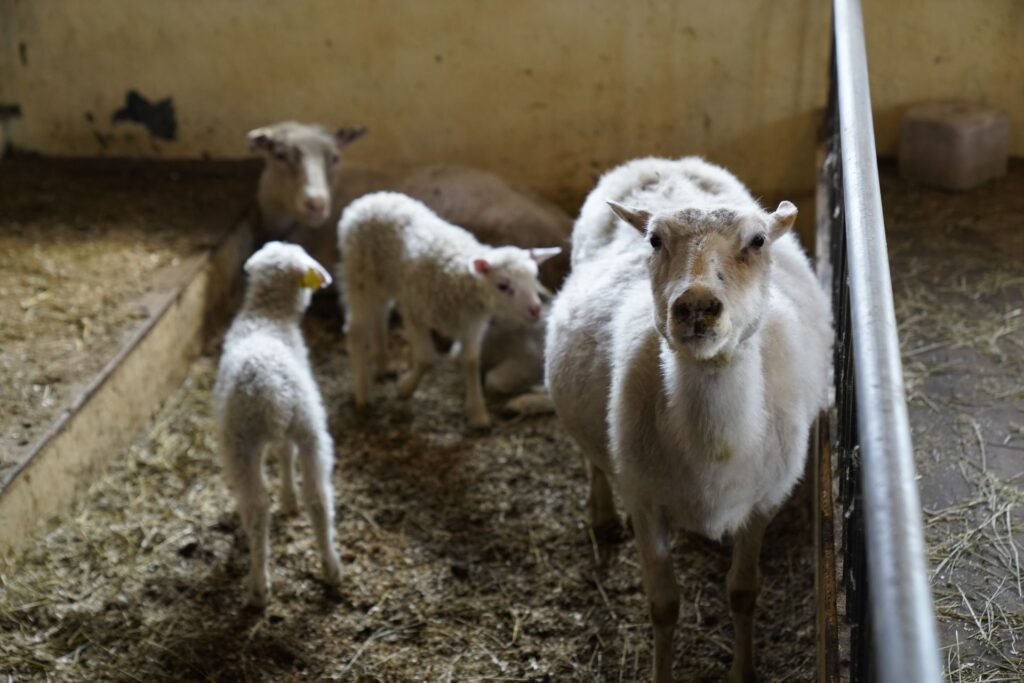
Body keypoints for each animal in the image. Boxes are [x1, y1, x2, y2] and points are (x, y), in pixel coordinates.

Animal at [213, 241, 342, 608]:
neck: (267, 317)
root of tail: (270, 386)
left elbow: (282, 458)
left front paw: (285, 500)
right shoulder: (293, 431)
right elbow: (286, 455)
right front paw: (289, 499)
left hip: (239, 443)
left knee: (256, 509)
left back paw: (258, 586)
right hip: (309, 426)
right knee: (319, 497)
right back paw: (331, 567)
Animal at [339, 191, 561, 429]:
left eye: (535, 277)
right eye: (503, 285)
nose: (536, 310)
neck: (459, 279)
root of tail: (371, 199)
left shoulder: (472, 326)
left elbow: (471, 363)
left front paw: (477, 413)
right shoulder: (415, 311)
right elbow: (426, 359)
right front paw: (405, 388)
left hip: (385, 280)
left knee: (380, 315)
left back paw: (382, 365)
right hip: (361, 275)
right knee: (356, 328)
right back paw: (362, 391)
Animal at [545, 157, 832, 683]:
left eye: (758, 241)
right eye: (655, 240)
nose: (696, 304)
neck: (712, 442)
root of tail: (663, 162)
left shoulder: (762, 502)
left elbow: (743, 593)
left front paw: (743, 671)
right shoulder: (644, 501)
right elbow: (663, 606)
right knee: (593, 455)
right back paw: (600, 514)